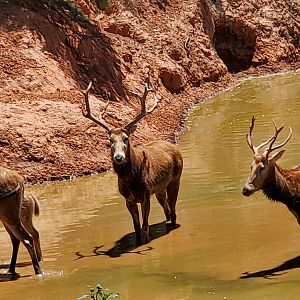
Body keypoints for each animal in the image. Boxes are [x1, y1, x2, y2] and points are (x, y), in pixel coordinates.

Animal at [81, 81, 183, 244]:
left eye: (126, 138)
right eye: (110, 140)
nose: (119, 157)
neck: (131, 180)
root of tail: (175, 147)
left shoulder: (146, 194)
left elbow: (145, 227)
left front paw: (145, 243)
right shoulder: (128, 199)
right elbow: (136, 227)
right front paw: (138, 242)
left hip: (176, 179)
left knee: (173, 212)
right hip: (160, 188)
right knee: (167, 209)